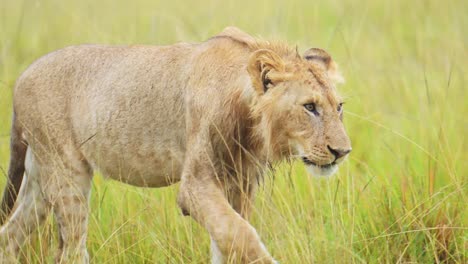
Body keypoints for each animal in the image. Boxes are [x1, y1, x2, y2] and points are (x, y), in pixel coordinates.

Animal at [0, 27, 352, 264]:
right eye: (309, 107)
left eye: (338, 107)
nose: (342, 152)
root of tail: (21, 77)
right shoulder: (195, 185)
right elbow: (242, 234)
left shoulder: (240, 184)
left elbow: (228, 240)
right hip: (67, 174)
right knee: (71, 250)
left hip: (41, 178)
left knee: (9, 236)